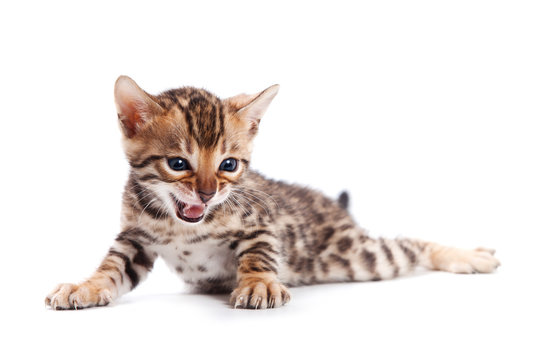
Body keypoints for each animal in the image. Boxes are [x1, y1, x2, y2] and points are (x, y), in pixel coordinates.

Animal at [45, 76, 502, 310]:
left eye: (229, 165)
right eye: (177, 164)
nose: (207, 194)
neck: (181, 225)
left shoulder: (262, 222)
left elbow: (259, 253)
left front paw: (260, 283)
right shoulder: (134, 238)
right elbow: (111, 268)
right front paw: (84, 287)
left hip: (356, 256)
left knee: (410, 245)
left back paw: (469, 256)